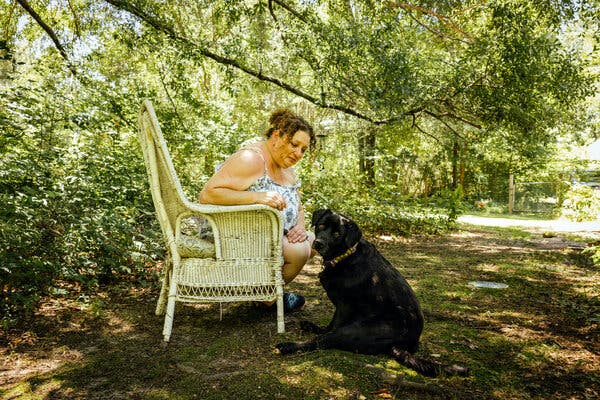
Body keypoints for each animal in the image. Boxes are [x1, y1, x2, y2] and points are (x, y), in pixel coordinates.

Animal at [276, 209, 468, 378]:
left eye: (337, 234)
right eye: (322, 225)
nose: (318, 243)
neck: (346, 256)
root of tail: (405, 344)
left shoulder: (345, 305)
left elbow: (332, 327)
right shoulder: (341, 307)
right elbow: (330, 325)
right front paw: (318, 328)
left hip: (357, 329)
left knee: (324, 340)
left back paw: (289, 346)